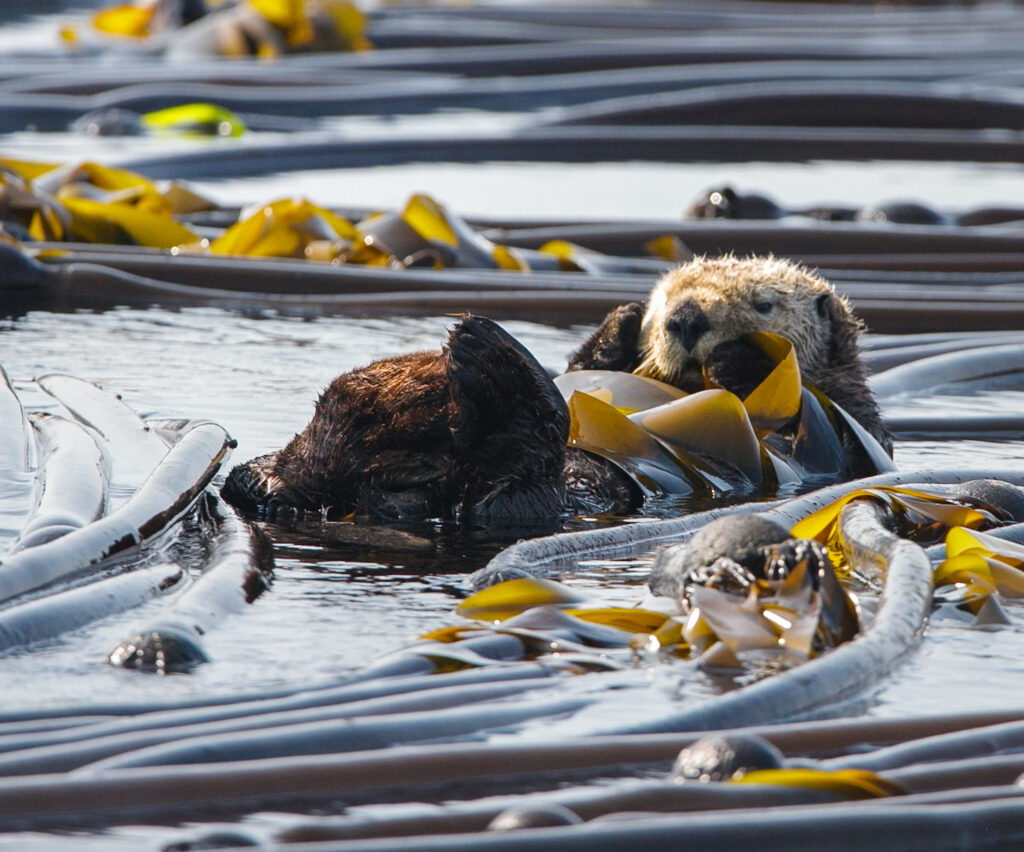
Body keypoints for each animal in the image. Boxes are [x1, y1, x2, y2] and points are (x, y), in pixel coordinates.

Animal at [567, 254, 891, 453]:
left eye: (763, 305)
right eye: (664, 302)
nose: (686, 318)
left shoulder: (853, 422)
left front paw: (736, 361)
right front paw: (621, 322)